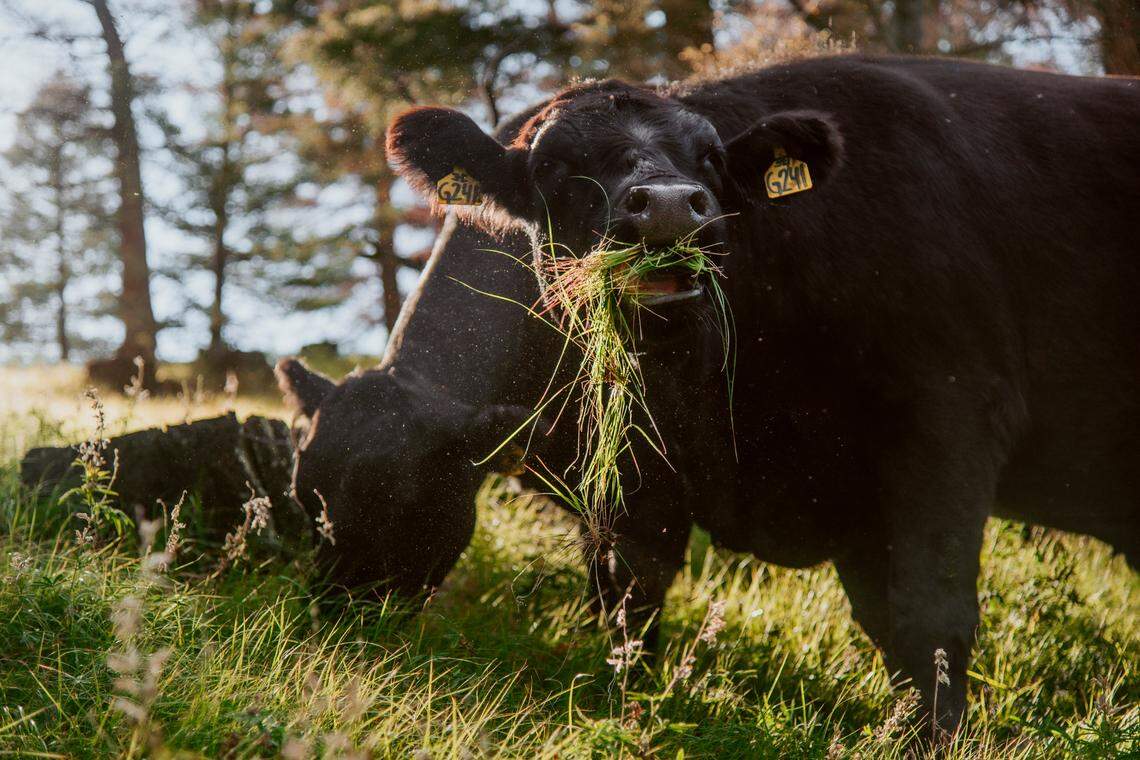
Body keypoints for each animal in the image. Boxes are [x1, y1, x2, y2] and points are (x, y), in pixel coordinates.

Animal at [380, 54, 1140, 730]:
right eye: (552, 169)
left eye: (711, 160)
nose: (666, 210)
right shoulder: (640, 471)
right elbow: (632, 605)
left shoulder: (950, 421)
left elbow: (930, 622)